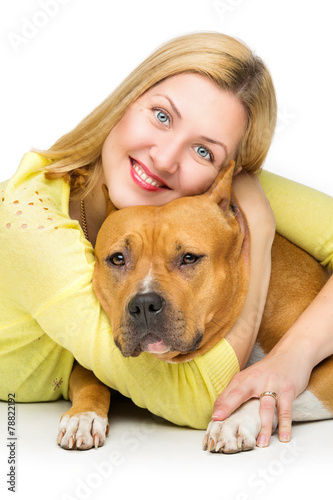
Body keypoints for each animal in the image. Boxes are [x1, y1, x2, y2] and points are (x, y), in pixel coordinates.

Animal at [56, 162, 330, 452]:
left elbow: (270, 386)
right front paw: (83, 416)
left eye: (189, 258)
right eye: (118, 259)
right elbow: (91, 381)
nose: (144, 303)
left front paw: (233, 421)